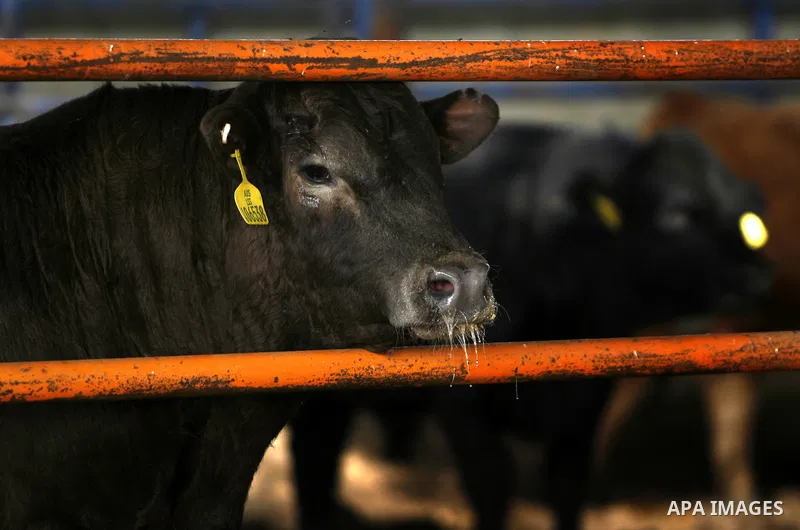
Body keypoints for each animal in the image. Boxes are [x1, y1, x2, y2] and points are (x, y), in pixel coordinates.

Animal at [286, 122, 773, 530]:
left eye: (748, 221)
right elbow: (494, 489)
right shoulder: (467, 412)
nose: (755, 277)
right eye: (676, 215)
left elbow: (567, 489)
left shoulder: (584, 407)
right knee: (314, 459)